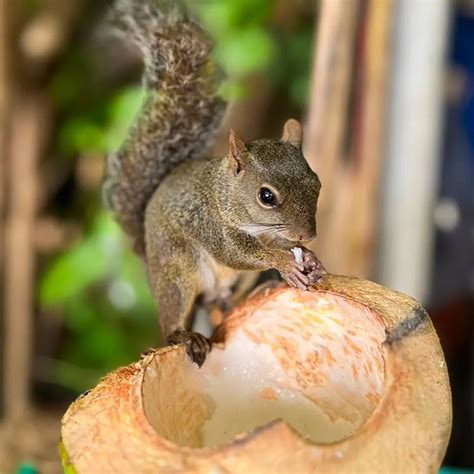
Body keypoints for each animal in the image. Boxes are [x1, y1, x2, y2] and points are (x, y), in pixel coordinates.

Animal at [103, 0, 326, 366]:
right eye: (266, 196)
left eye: (317, 183)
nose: (308, 236)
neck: (225, 195)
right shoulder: (210, 223)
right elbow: (237, 252)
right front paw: (284, 262)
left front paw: (309, 258)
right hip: (178, 270)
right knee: (174, 317)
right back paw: (185, 335)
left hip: (230, 283)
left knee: (228, 301)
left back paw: (253, 294)